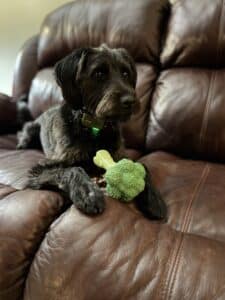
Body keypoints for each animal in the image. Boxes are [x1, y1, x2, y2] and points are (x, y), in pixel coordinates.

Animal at [16, 44, 166, 218]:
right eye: (99, 73)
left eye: (125, 73)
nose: (130, 101)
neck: (95, 128)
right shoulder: (39, 169)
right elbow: (72, 169)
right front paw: (88, 193)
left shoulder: (120, 155)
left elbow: (143, 166)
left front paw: (154, 199)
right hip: (32, 129)